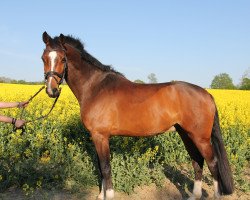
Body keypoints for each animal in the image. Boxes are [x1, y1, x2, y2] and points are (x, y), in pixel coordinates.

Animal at [40, 32, 233, 199]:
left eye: (62, 59)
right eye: (43, 58)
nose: (51, 90)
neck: (95, 87)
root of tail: (206, 94)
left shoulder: (101, 136)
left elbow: (106, 168)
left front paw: (108, 196)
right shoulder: (96, 137)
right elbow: (101, 168)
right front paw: (101, 195)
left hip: (200, 138)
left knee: (213, 163)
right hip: (186, 134)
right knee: (197, 161)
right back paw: (194, 195)